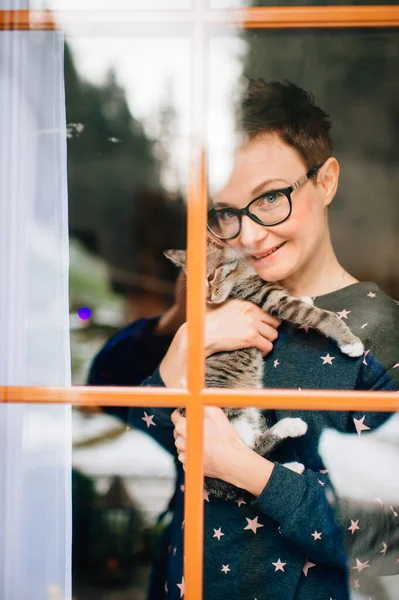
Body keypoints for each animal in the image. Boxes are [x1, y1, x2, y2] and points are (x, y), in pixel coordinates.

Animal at [164, 237, 364, 500]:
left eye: (210, 276)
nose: (207, 299)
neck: (242, 271)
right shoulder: (268, 298)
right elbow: (319, 315)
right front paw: (349, 341)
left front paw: (306, 298)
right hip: (230, 407)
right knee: (248, 450)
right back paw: (291, 428)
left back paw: (291, 466)